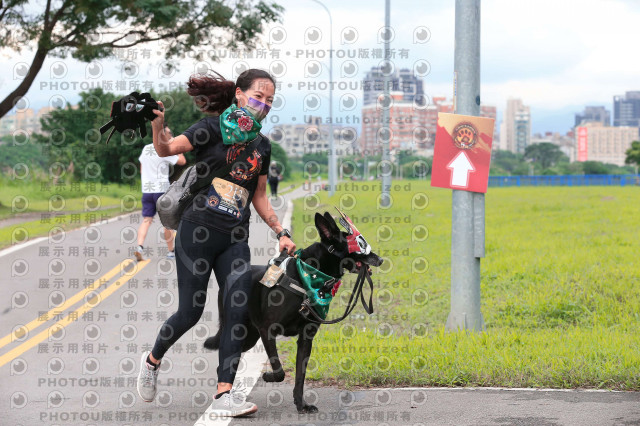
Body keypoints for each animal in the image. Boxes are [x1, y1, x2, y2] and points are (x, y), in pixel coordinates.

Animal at [205, 211, 382, 412]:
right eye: (360, 246)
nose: (381, 259)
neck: (308, 277)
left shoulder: (306, 338)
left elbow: (300, 377)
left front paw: (301, 404)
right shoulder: (268, 330)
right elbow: (279, 370)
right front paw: (268, 376)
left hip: (249, 338)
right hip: (239, 331)